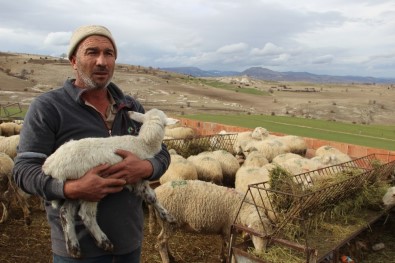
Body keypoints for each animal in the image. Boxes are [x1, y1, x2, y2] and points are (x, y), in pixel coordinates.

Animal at [41, 108, 178, 258]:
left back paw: (73, 247)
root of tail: (50, 165)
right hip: (89, 187)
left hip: (73, 188)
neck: (143, 144)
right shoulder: (138, 179)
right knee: (86, 214)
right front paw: (168, 216)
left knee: (65, 212)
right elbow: (152, 197)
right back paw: (104, 242)